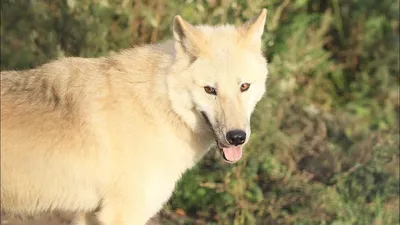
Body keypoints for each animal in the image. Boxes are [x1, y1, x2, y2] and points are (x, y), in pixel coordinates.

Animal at [0, 8, 268, 223]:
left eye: (244, 87)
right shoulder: (121, 215)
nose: (237, 137)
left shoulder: (90, 215)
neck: (160, 104)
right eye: (210, 90)